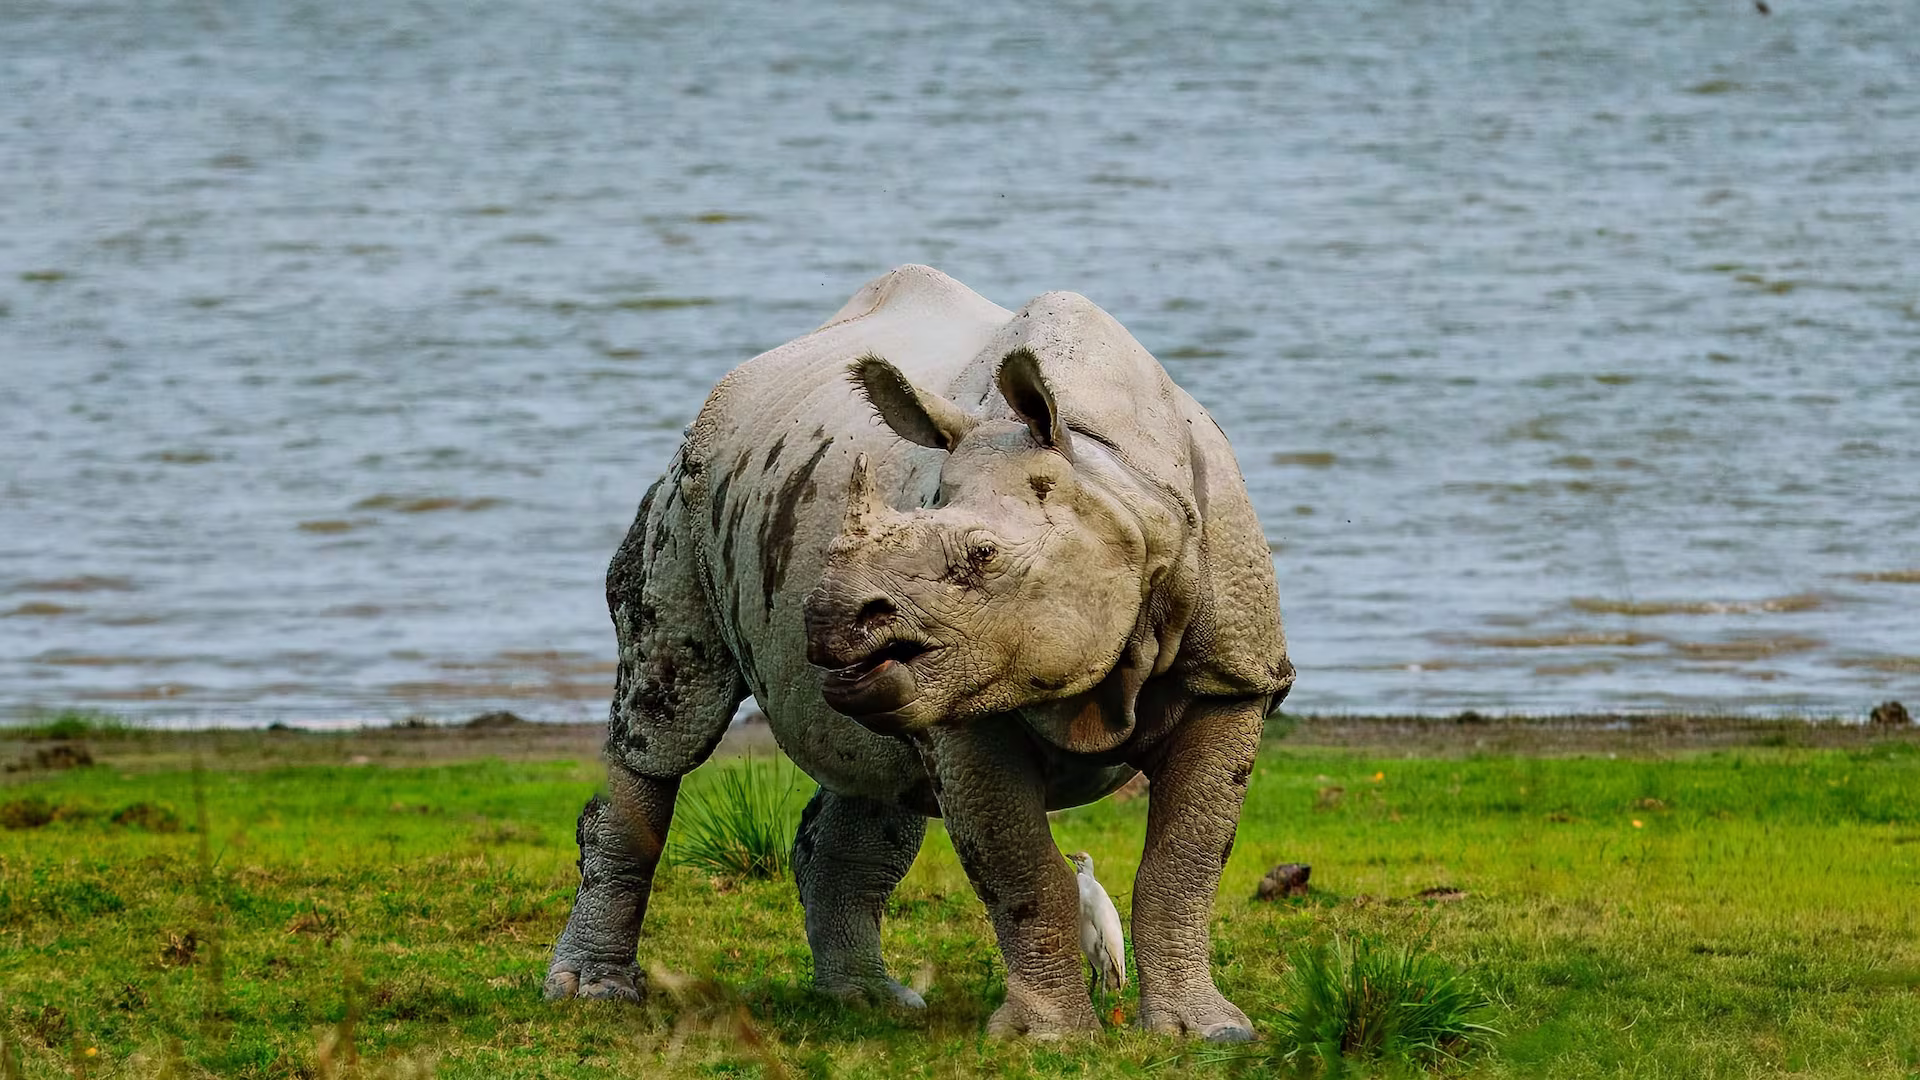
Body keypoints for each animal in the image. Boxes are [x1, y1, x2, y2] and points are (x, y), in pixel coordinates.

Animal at [544, 265, 1293, 1041]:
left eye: (983, 554)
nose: (828, 616)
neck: (1117, 488)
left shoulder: (1232, 677)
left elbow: (1185, 865)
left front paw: (1209, 1032)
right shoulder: (968, 704)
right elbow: (1023, 869)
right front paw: (1047, 1039)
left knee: (875, 774)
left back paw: (867, 1000)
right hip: (683, 497)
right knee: (667, 725)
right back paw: (593, 993)